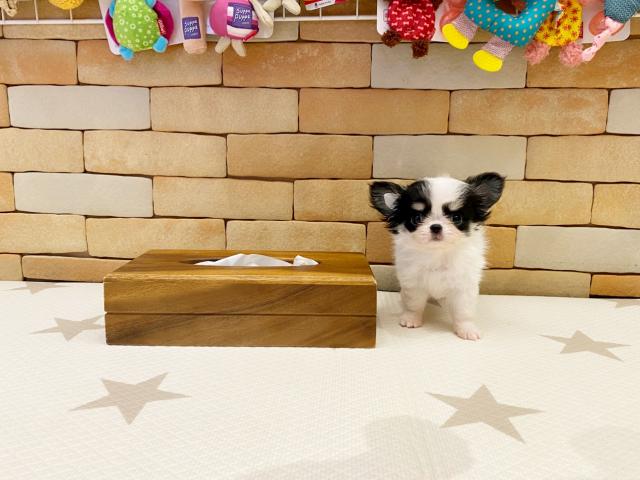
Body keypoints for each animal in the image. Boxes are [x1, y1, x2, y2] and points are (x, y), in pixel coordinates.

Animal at [370, 173, 505, 340]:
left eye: (456, 218)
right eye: (417, 219)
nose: (435, 227)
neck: (438, 254)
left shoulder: (463, 287)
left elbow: (463, 311)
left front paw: (466, 329)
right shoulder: (414, 283)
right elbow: (414, 304)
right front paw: (411, 319)